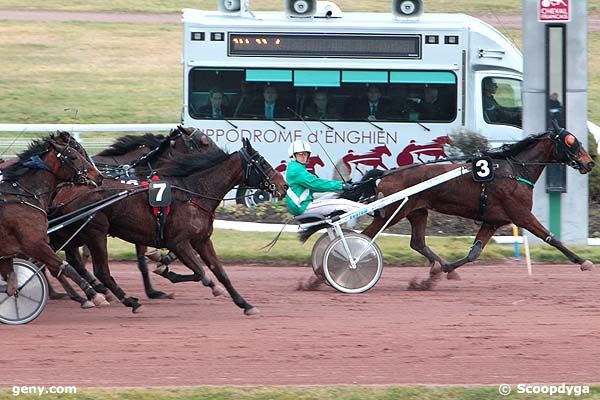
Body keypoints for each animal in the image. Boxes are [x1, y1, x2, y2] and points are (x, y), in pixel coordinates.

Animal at [0, 132, 106, 306]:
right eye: (74, 155)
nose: (99, 176)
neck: (22, 196)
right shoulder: (34, 244)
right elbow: (64, 267)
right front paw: (93, 295)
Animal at [50, 139, 288, 314]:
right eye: (262, 163)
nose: (284, 185)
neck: (193, 193)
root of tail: (67, 188)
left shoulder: (202, 240)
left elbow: (219, 272)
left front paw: (245, 304)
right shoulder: (178, 242)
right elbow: (200, 272)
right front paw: (167, 271)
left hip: (73, 233)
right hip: (95, 232)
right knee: (99, 270)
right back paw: (124, 300)